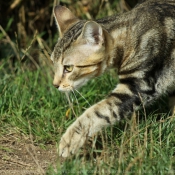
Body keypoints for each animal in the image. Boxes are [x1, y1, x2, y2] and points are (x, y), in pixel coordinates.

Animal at [50, 0, 175, 158]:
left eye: (68, 68)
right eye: (53, 63)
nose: (55, 85)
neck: (128, 37)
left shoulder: (138, 86)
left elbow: (97, 112)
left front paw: (70, 140)